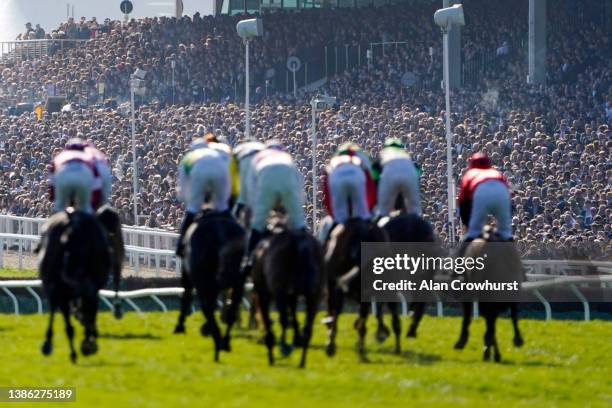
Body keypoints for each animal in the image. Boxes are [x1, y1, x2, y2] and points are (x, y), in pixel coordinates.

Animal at [172, 209, 246, 362]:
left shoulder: (188, 272)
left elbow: (187, 295)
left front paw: (180, 326)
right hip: (237, 279)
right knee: (232, 307)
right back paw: (224, 342)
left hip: (201, 278)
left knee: (207, 307)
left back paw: (217, 342)